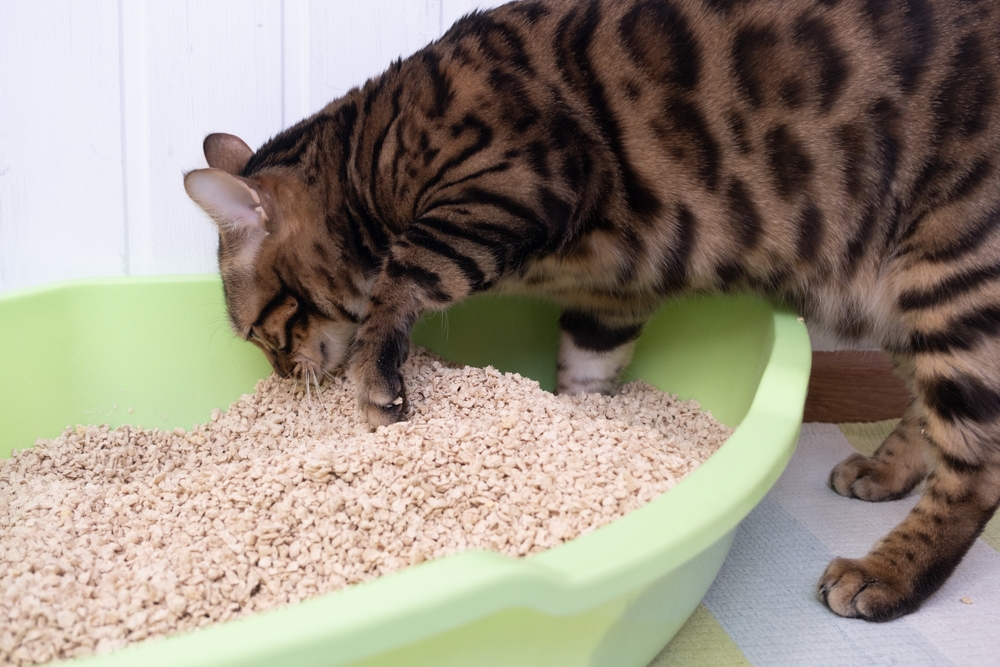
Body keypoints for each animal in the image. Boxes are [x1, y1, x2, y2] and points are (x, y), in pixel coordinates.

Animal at [184, 0, 1000, 628]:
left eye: (258, 332)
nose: (282, 377)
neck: (368, 157)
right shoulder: (609, 294)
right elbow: (584, 374)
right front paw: (584, 425)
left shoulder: (511, 185)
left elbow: (401, 275)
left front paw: (376, 384)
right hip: (897, 295)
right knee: (933, 418)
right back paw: (883, 470)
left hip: (953, 270)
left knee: (978, 470)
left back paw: (887, 575)